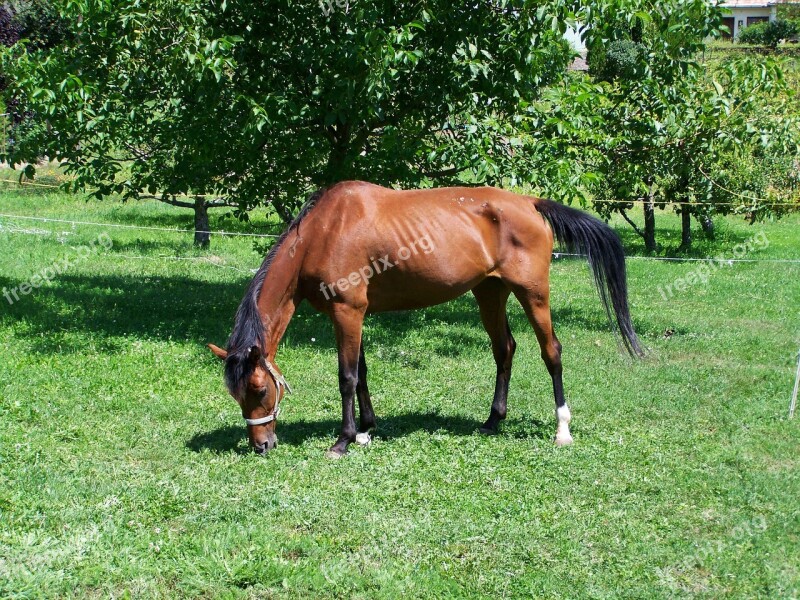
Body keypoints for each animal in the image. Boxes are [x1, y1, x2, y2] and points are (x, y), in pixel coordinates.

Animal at [208, 180, 644, 458]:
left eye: (259, 389)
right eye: (236, 393)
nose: (261, 445)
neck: (325, 231)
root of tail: (530, 202)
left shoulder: (347, 311)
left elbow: (346, 376)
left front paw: (344, 441)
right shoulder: (354, 314)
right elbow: (361, 373)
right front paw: (366, 430)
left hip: (533, 293)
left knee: (551, 352)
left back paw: (562, 430)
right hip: (490, 292)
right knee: (504, 350)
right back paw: (492, 421)